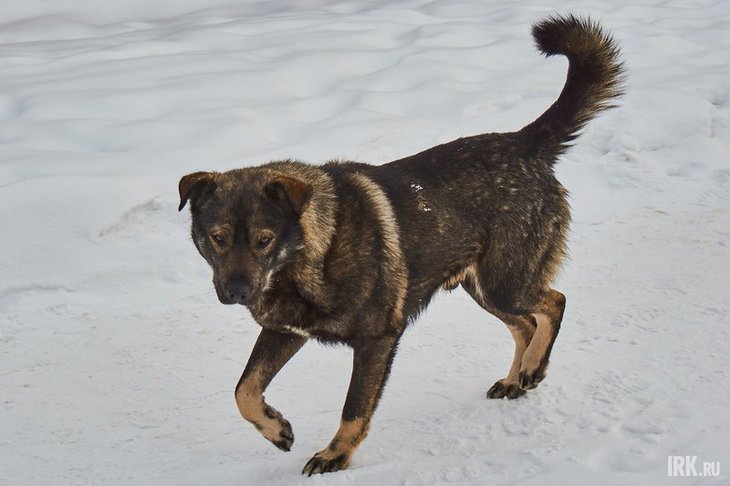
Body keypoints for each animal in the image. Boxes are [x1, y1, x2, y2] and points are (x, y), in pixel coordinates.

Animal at [176, 14, 620, 474]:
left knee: (554, 302)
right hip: (482, 287)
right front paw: (277, 429)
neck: (309, 256)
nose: (237, 292)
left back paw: (533, 367)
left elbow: (353, 409)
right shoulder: (284, 331)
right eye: (217, 238)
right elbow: (244, 389)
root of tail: (524, 142)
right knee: (526, 324)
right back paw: (517, 378)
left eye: (264, 240)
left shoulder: (378, 339)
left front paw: (335, 455)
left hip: (506, 282)